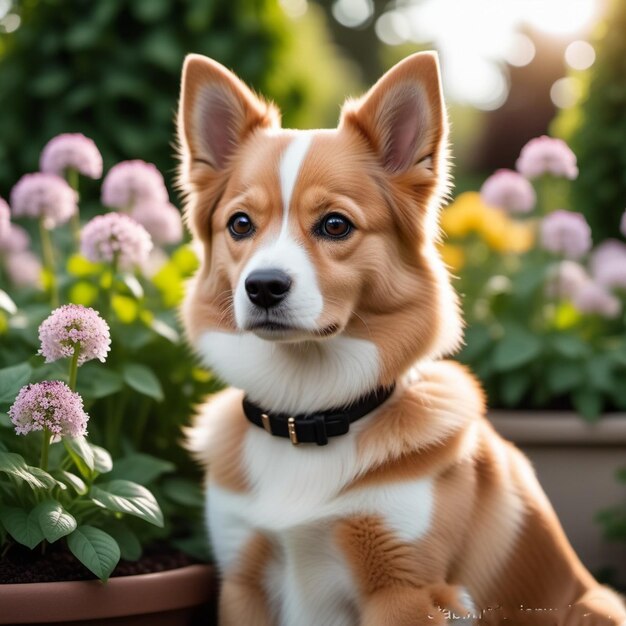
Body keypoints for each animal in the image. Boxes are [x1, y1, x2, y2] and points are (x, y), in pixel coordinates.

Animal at [177, 52, 624, 624]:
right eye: (239, 224)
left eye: (335, 225)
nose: (264, 287)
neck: (309, 414)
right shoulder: (242, 579)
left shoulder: (407, 590)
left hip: (596, 606)